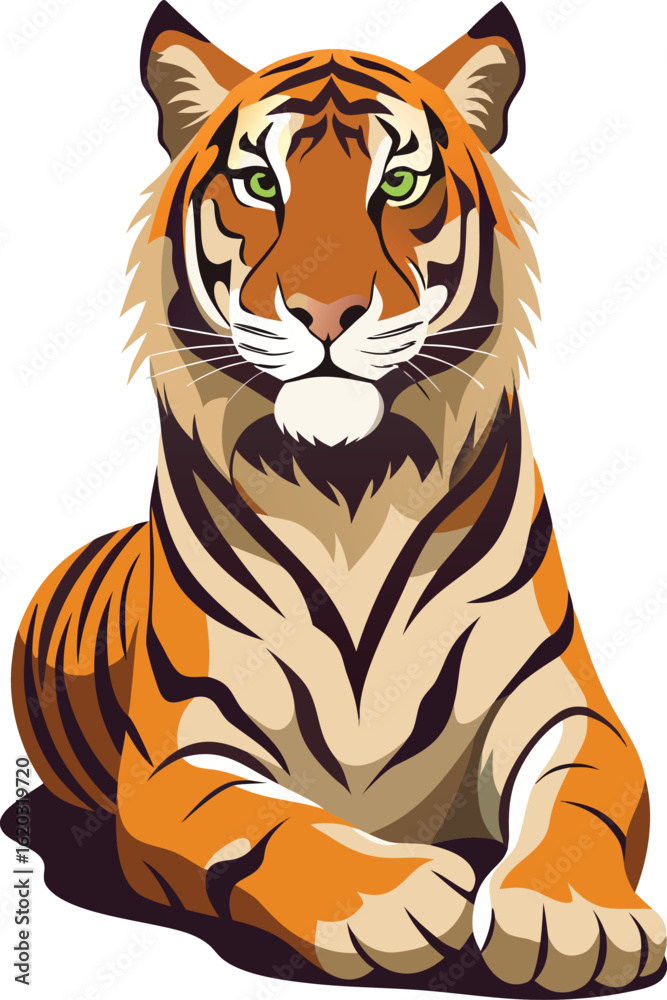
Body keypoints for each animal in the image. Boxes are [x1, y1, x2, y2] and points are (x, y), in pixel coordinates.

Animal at [11, 0, 666, 994]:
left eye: (396, 184)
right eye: (258, 183)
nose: (324, 312)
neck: (348, 490)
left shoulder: (562, 702)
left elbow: (577, 801)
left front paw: (572, 914)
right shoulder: (182, 752)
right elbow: (269, 820)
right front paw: (391, 896)